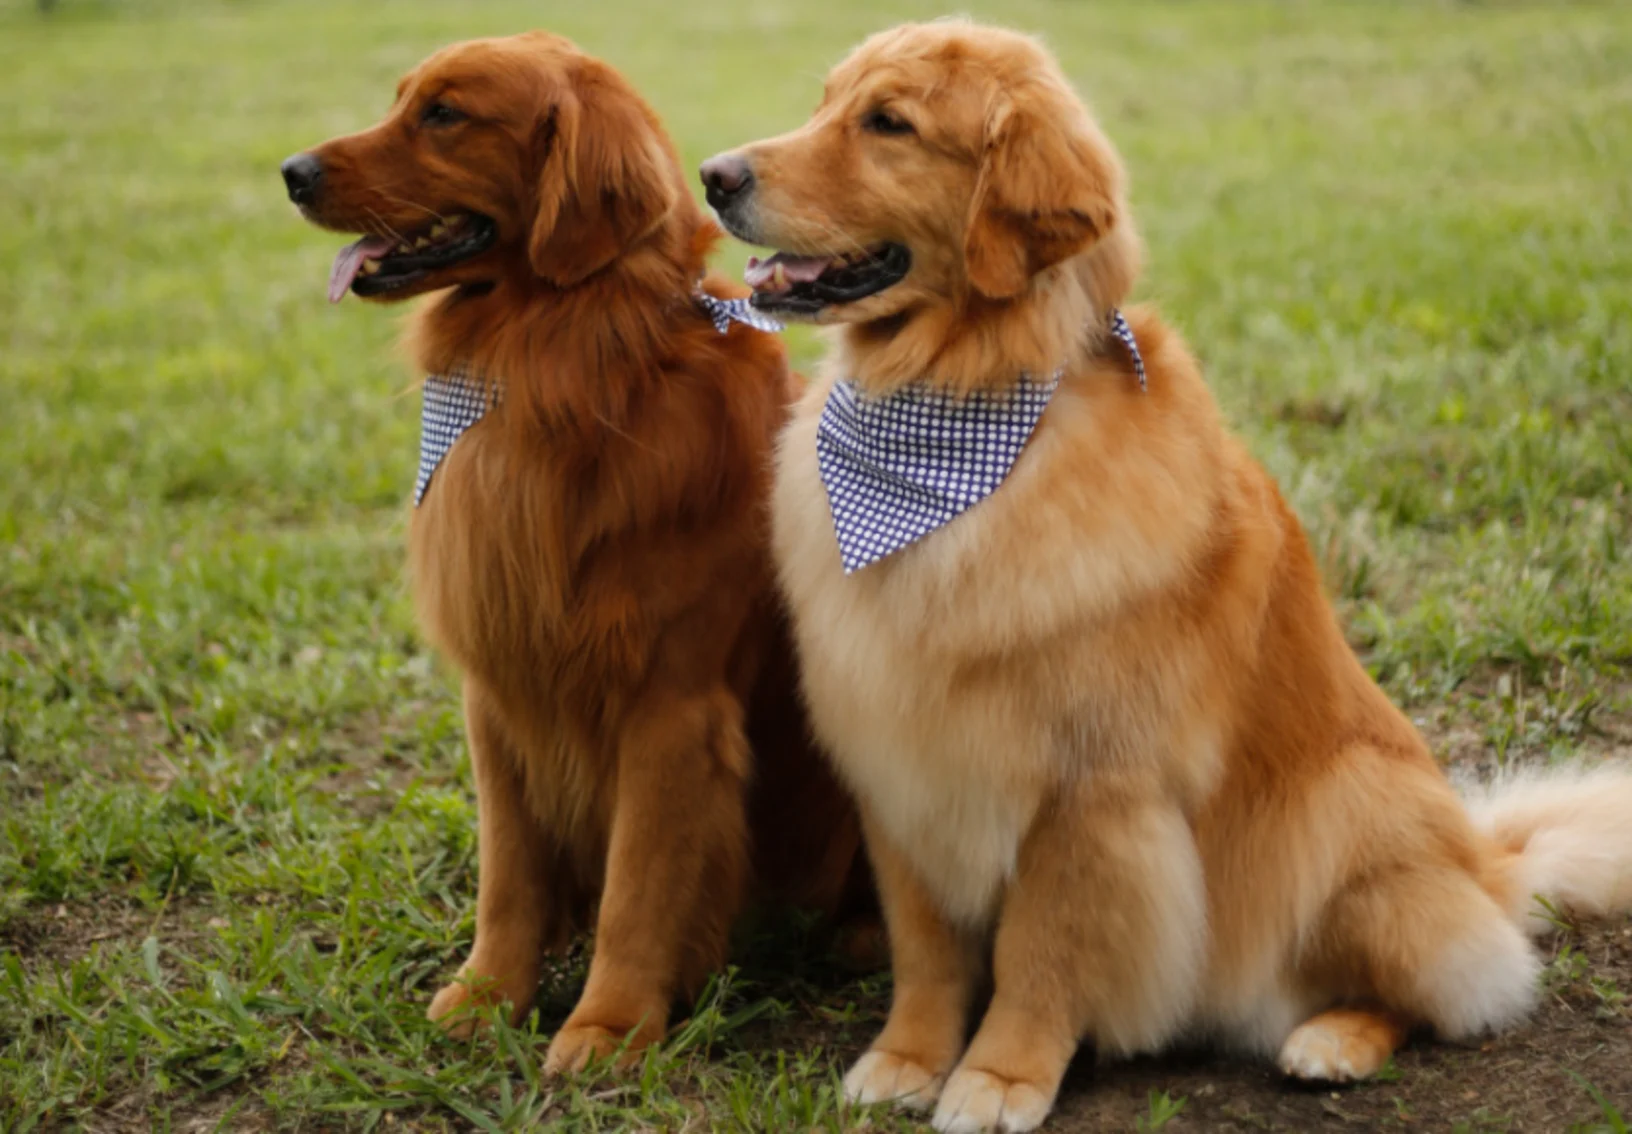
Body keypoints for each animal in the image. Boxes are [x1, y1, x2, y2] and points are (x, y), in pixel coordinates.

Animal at [280, 28, 868, 1070]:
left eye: (444, 114)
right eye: (402, 102)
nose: (291, 172)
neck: (569, 360)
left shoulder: (671, 706)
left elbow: (640, 882)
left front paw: (609, 1026)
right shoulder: (500, 687)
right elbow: (508, 874)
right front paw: (488, 996)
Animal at [701, 19, 1632, 1134]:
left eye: (889, 124)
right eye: (828, 103)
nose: (713, 174)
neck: (958, 410)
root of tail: (1490, 869)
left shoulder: (1089, 790)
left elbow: (1041, 951)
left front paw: (1000, 1078)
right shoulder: (905, 766)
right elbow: (928, 949)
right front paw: (908, 1059)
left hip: (1345, 810)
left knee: (1446, 989)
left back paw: (1331, 1040)